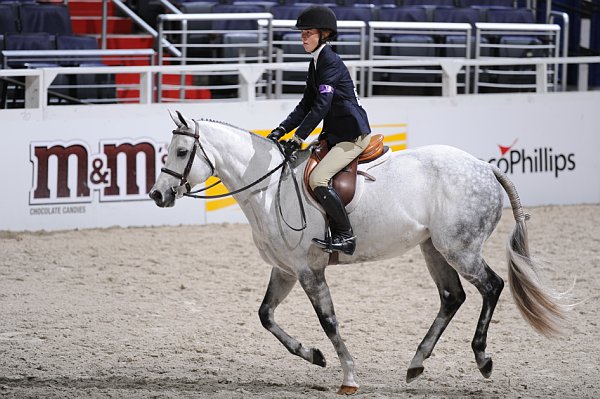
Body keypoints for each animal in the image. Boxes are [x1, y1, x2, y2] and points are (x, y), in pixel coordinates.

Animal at [149, 111, 568, 396]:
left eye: (182, 151)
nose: (157, 194)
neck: (269, 188)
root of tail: (484, 166)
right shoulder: (285, 270)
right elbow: (266, 316)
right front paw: (313, 355)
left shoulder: (309, 271)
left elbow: (329, 322)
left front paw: (348, 376)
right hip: (434, 249)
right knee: (453, 297)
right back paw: (416, 363)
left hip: (460, 249)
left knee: (491, 287)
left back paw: (482, 358)